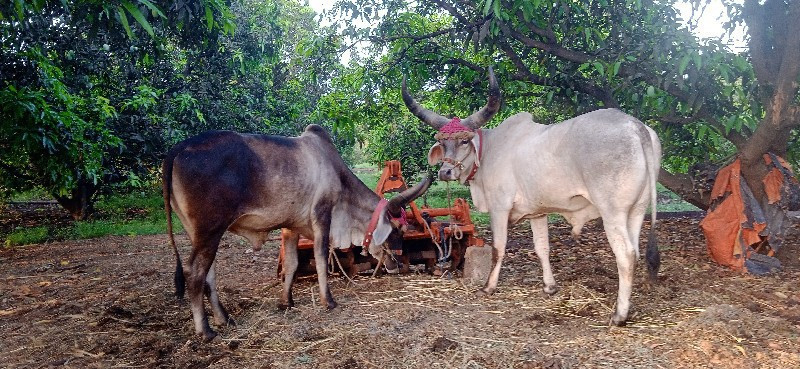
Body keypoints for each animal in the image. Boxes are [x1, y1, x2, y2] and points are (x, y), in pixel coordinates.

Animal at [406, 67, 664, 324]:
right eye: (441, 142)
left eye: (464, 140)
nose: (445, 172)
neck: (489, 151)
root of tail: (635, 126)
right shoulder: (537, 213)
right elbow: (542, 248)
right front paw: (549, 287)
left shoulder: (499, 208)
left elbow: (498, 248)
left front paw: (489, 287)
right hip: (636, 210)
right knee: (636, 251)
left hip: (613, 212)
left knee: (626, 254)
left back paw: (619, 314)